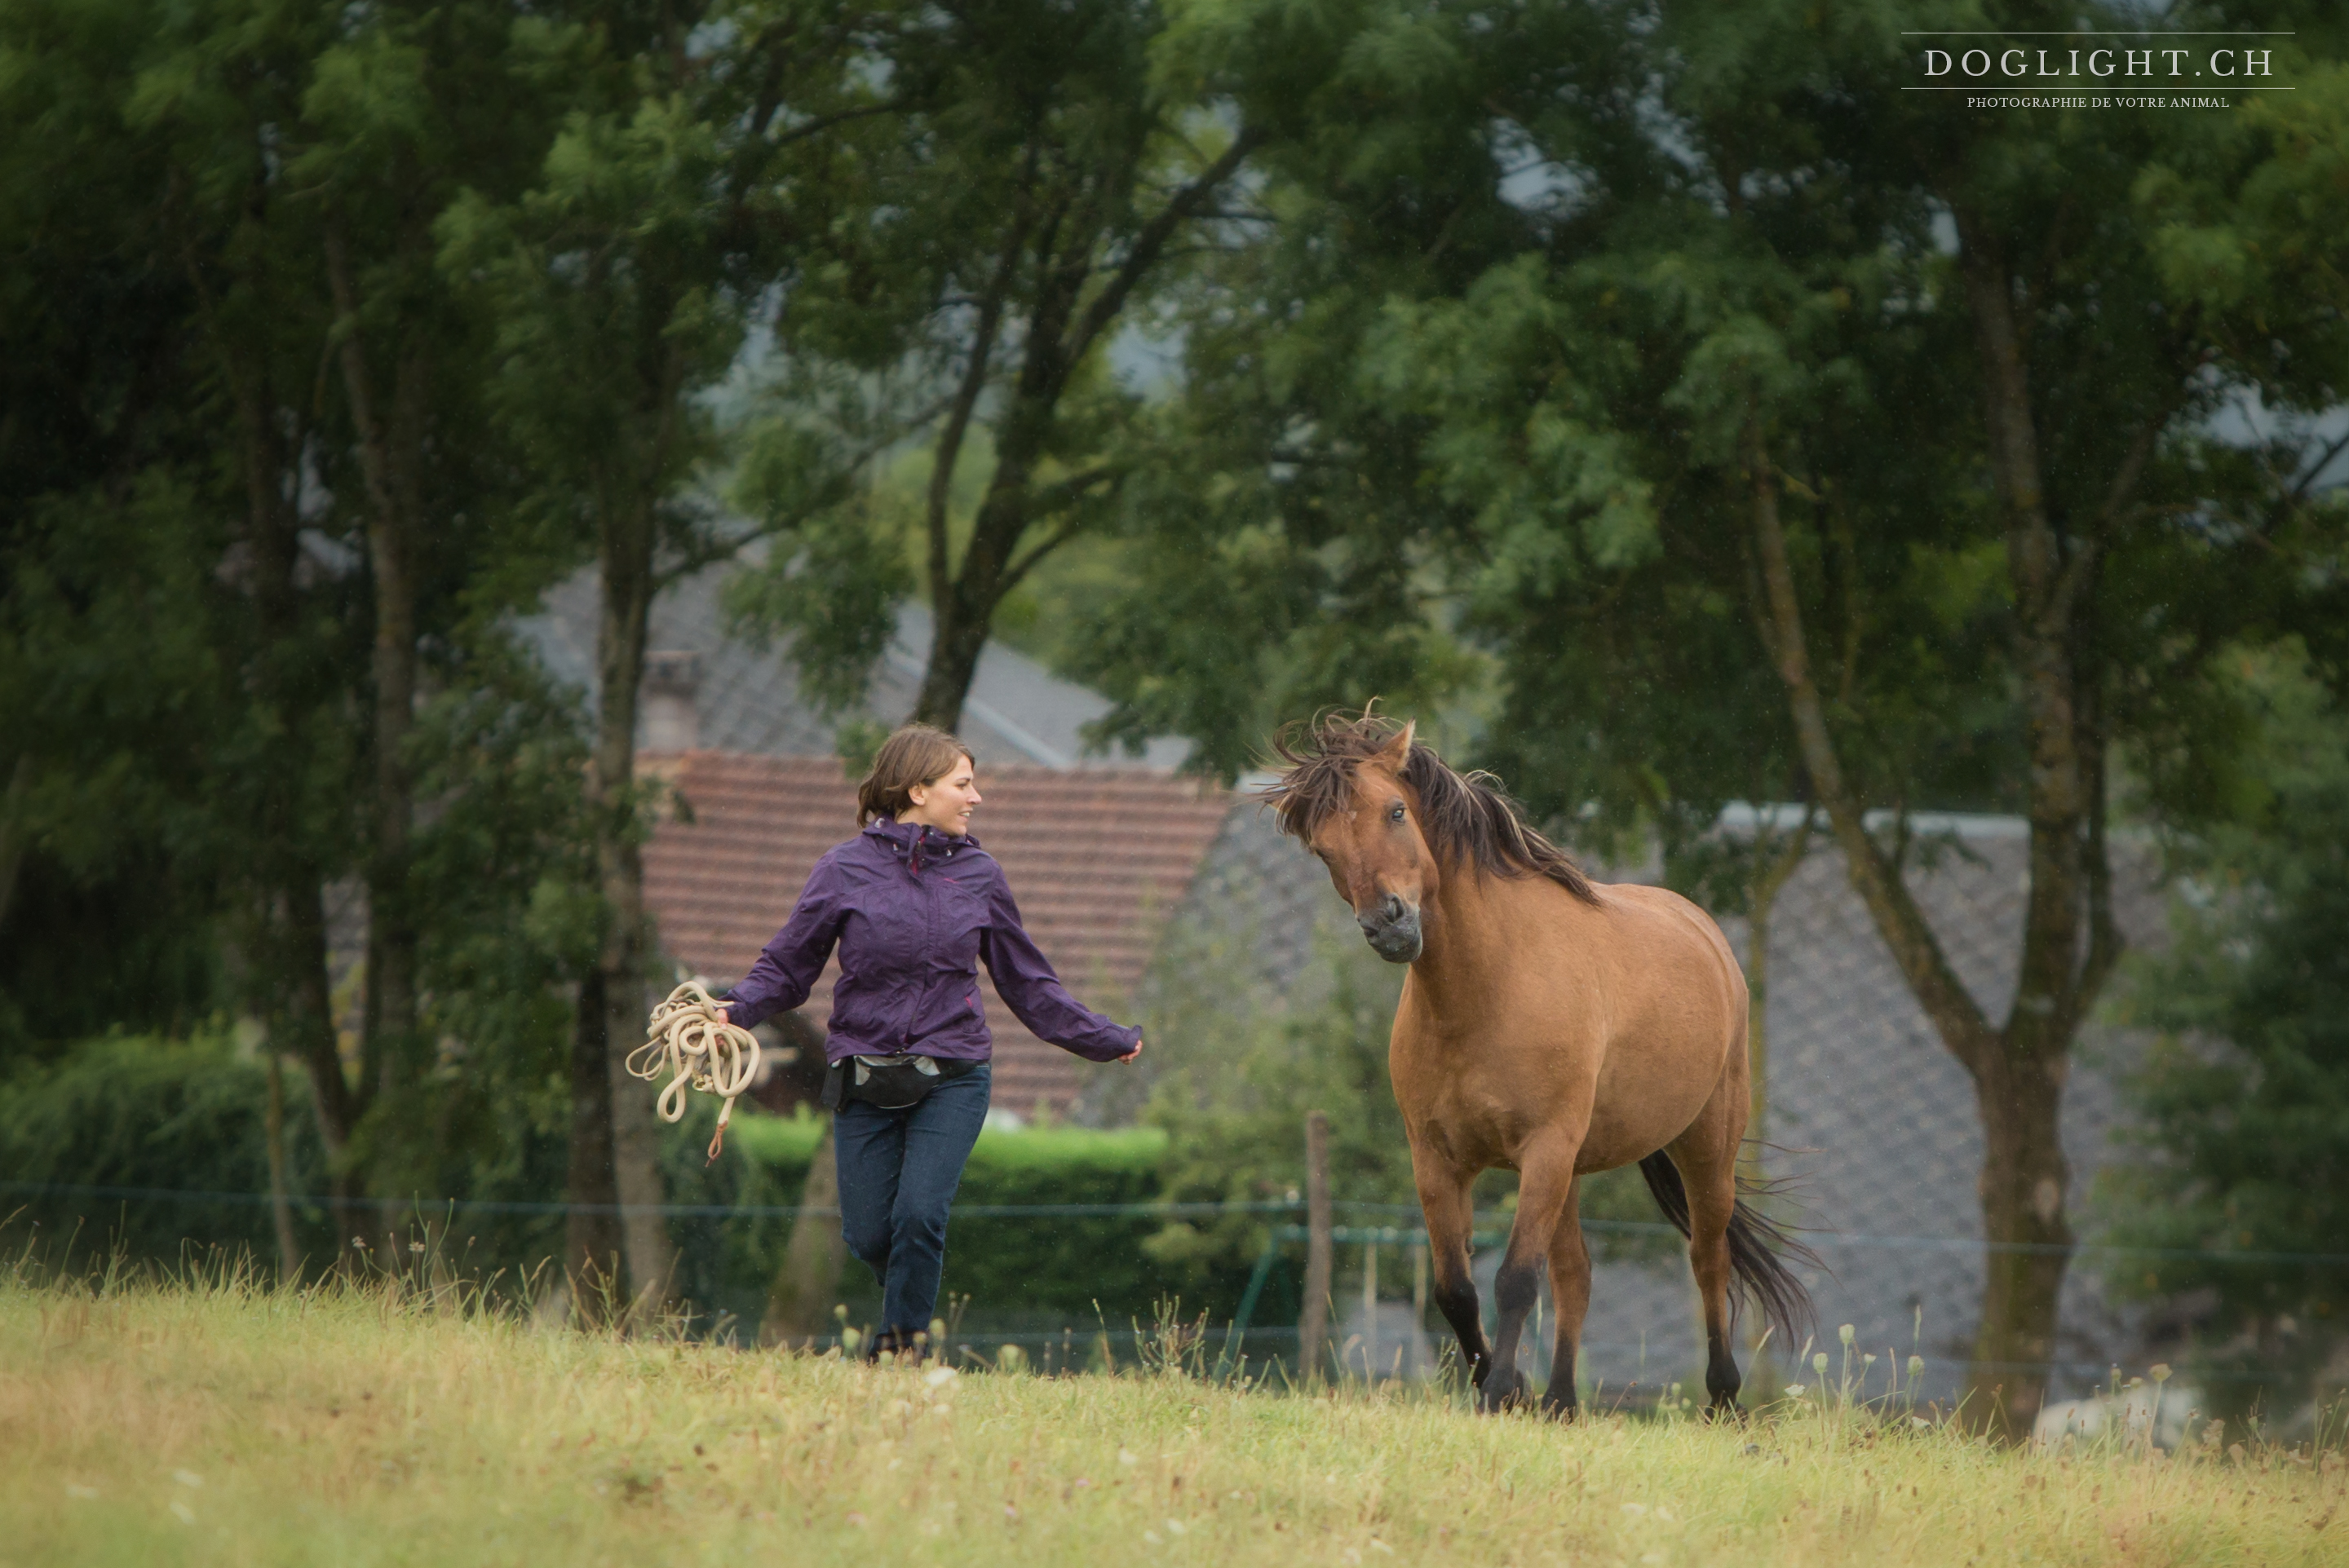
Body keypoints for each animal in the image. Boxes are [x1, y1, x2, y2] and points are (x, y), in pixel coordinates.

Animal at [1277, 718, 1803, 1417]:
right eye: (1323, 847)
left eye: (1395, 811)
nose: (1389, 925)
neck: (1487, 988)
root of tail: (1707, 934)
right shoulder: (1437, 1159)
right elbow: (1455, 1289)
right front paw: (1510, 1387)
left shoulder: (1545, 1148)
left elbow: (1516, 1280)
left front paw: (1501, 1390)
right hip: (1574, 1172)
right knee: (1576, 1272)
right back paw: (1561, 1398)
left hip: (1703, 1145)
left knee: (1707, 1258)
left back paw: (1722, 1396)